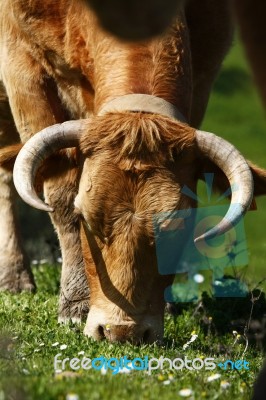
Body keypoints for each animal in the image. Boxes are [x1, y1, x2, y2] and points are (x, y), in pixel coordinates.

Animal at [0, 0, 266, 344]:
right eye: (86, 219)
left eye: (179, 225)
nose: (122, 331)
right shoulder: (23, 63)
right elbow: (59, 196)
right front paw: (75, 304)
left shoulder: (206, 62)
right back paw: (14, 277)